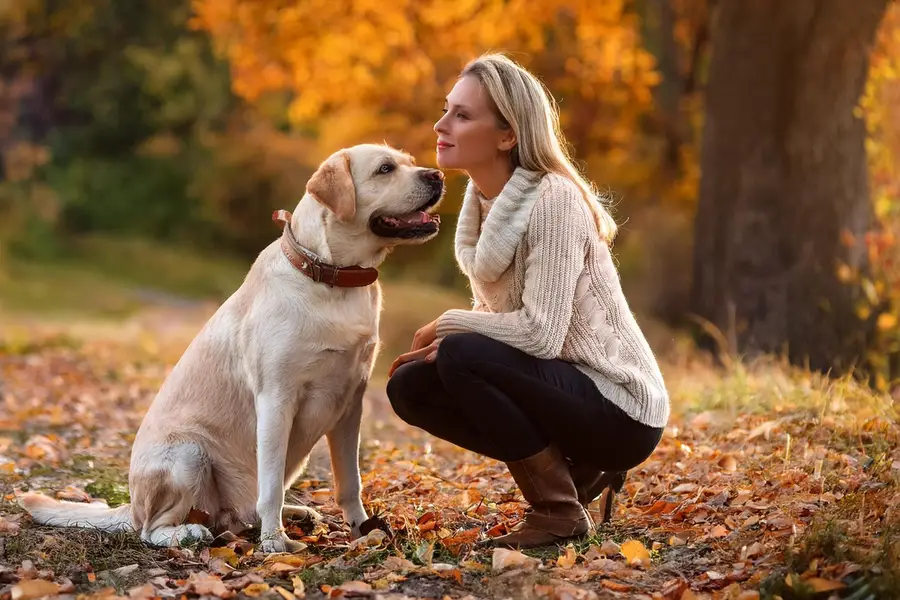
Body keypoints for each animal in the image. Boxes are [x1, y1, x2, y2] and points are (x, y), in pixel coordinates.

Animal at [21, 144, 442, 552]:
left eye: (409, 161)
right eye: (385, 169)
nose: (437, 174)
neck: (332, 278)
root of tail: (130, 504)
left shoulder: (351, 403)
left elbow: (349, 482)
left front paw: (362, 531)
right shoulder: (276, 399)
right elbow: (270, 487)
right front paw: (274, 543)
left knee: (239, 515)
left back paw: (295, 514)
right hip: (189, 454)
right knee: (154, 529)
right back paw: (188, 534)